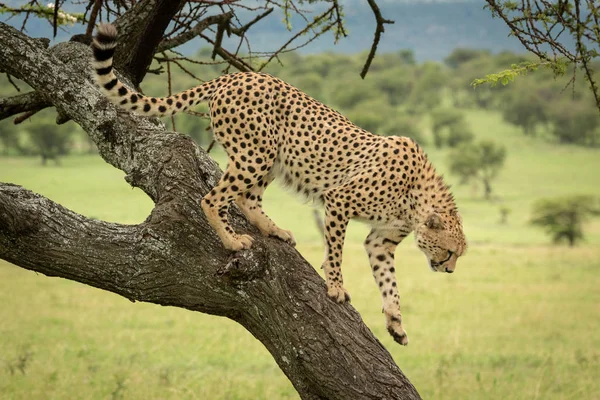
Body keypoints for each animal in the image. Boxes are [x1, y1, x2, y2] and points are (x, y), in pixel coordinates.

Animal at [92, 24, 468, 344]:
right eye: (450, 251)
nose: (449, 270)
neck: (416, 197)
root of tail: (237, 75)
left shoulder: (381, 240)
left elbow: (389, 281)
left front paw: (395, 321)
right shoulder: (339, 201)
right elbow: (336, 251)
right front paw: (335, 287)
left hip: (270, 157)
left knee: (246, 198)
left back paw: (273, 229)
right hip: (256, 153)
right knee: (213, 198)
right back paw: (232, 240)